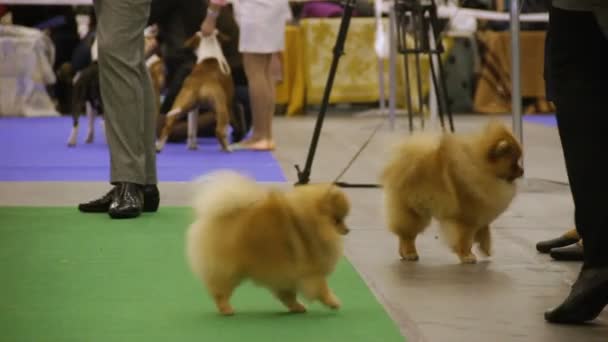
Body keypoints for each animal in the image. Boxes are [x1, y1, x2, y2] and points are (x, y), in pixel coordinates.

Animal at [185, 171, 350, 316]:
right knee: (220, 292)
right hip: (228, 270)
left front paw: (296, 307)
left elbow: (287, 294)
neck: (312, 222)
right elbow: (322, 289)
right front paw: (333, 302)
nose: (347, 230)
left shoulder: (287, 274)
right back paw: (226, 309)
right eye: (337, 220)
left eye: (343, 219)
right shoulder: (311, 272)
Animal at [380, 121, 524, 264]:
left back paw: (404, 254)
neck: (482, 169)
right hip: (414, 212)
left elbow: (485, 232)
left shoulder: (480, 216)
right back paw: (410, 253)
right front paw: (467, 256)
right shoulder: (465, 220)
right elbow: (465, 240)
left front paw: (486, 248)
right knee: (407, 235)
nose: (522, 171)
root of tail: (399, 164)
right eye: (514, 163)